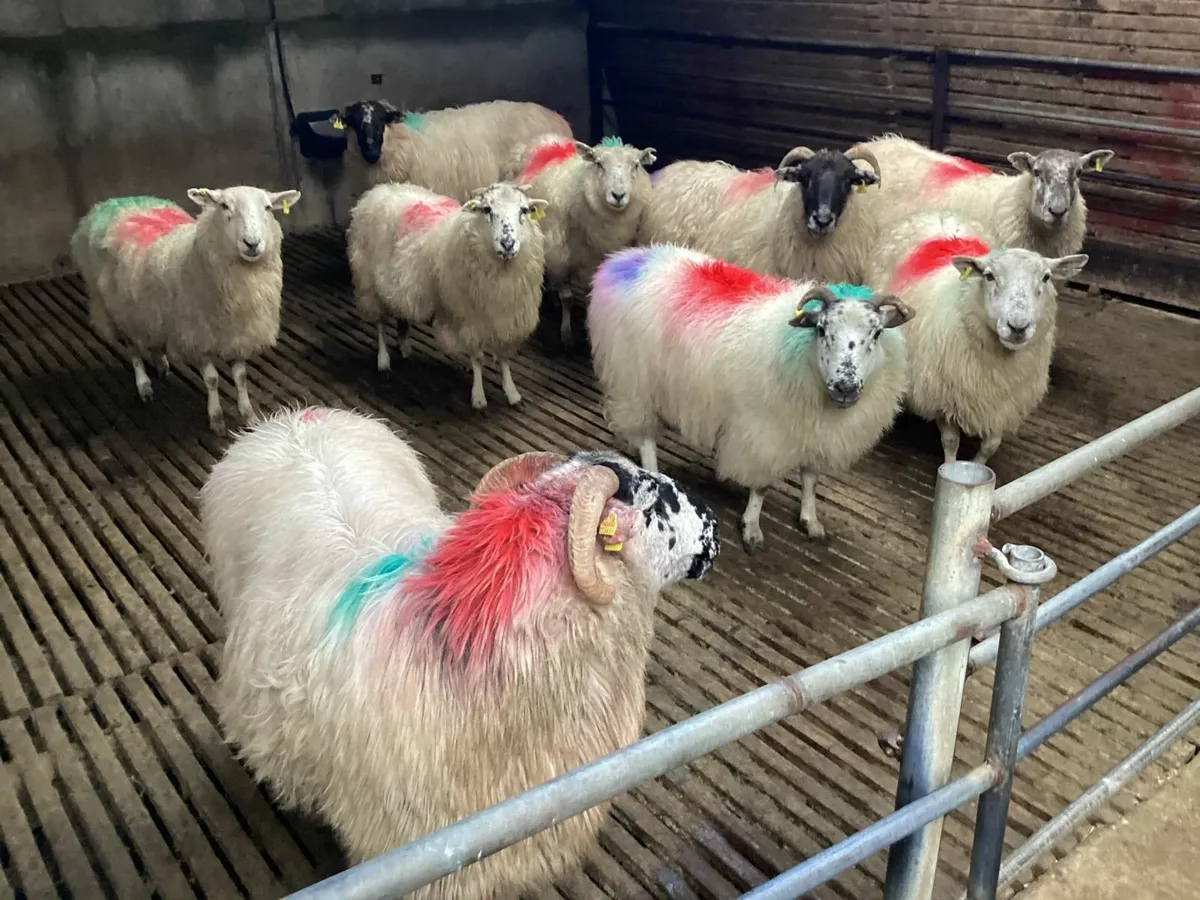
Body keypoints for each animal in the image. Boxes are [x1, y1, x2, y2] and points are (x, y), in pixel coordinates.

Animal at [70, 185, 302, 434]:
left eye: (268, 207)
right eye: (224, 206)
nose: (252, 243)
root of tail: (116, 201)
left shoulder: (239, 334)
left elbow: (240, 377)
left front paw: (249, 415)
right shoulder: (197, 336)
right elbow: (212, 379)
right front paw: (216, 419)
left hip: (150, 310)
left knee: (153, 340)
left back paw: (160, 363)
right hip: (121, 309)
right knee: (134, 349)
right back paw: (144, 385)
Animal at [347, 180, 549, 410]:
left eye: (524, 210)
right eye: (487, 210)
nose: (508, 244)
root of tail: (380, 188)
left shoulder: (506, 317)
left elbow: (504, 356)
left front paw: (512, 392)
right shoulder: (469, 318)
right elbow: (478, 358)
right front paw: (478, 397)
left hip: (398, 284)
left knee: (401, 313)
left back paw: (404, 346)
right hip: (368, 283)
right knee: (380, 324)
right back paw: (383, 360)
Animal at [504, 135, 657, 348]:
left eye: (635, 165)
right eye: (599, 164)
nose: (618, 195)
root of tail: (546, 138)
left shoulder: (596, 259)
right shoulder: (559, 257)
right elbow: (567, 298)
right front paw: (566, 334)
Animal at [588, 244, 913, 553]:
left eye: (877, 333)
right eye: (821, 329)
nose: (845, 386)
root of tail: (626, 259)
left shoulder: (816, 432)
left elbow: (811, 479)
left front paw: (811, 521)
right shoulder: (763, 433)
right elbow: (762, 487)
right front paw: (752, 529)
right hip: (633, 379)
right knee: (645, 437)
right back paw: (654, 470)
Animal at [865, 208, 1089, 465]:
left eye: (1046, 277)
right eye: (989, 276)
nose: (1018, 327)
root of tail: (936, 212)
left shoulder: (1002, 405)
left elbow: (990, 446)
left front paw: (977, 466)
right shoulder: (945, 398)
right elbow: (951, 441)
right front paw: (950, 467)